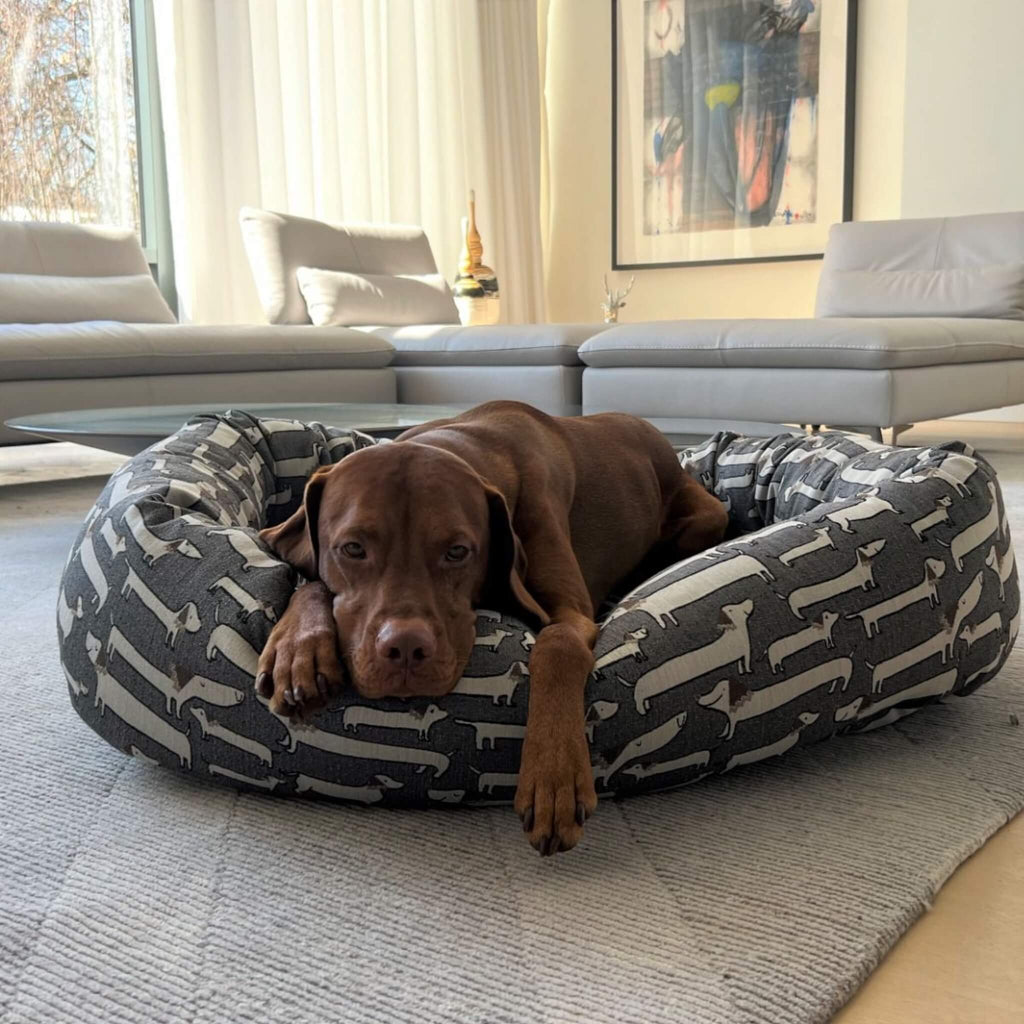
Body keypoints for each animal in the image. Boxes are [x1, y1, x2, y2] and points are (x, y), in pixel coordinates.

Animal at [258, 399, 729, 856]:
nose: (406, 650)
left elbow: (557, 643)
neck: (470, 441)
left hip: (707, 517)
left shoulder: (571, 610)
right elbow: (309, 581)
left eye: (458, 551)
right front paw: (298, 654)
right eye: (352, 548)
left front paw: (553, 778)